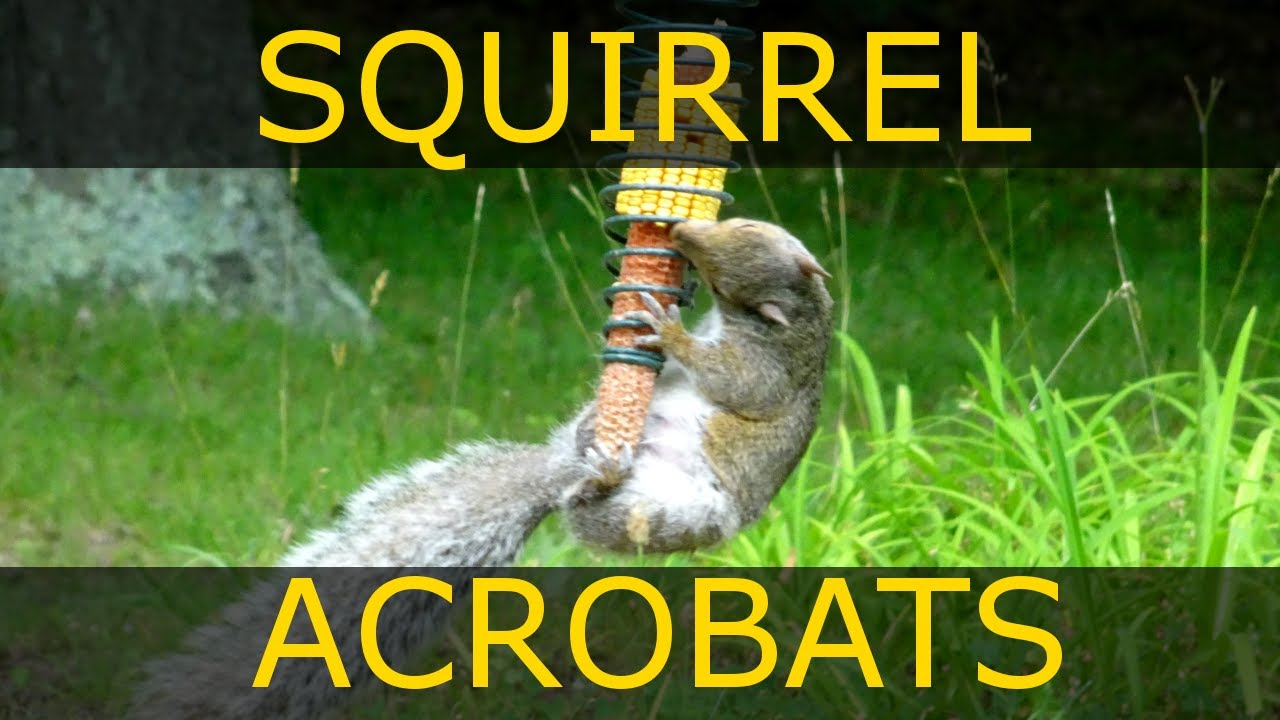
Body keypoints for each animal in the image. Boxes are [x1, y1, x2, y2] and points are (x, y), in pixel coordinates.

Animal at [125, 217, 833, 719]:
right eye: (743, 225)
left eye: (732, 263)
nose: (682, 235)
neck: (800, 316)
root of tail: (564, 472)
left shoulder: (770, 370)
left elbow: (734, 383)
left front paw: (670, 328)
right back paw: (593, 447)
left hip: (675, 513)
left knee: (597, 515)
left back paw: (600, 480)